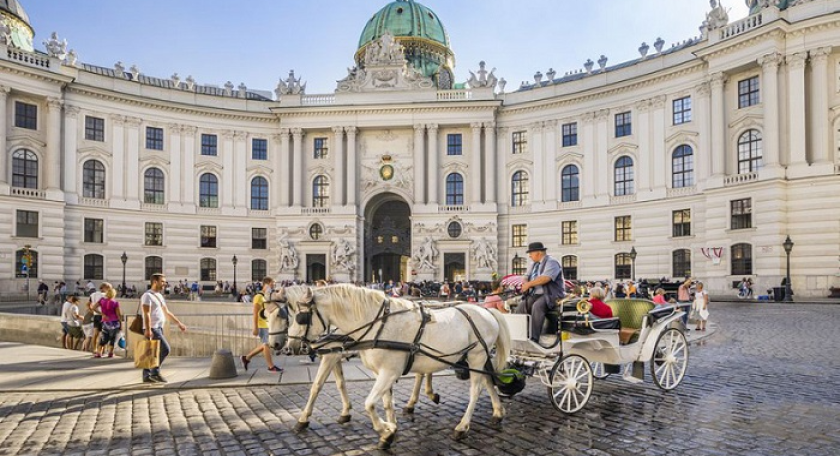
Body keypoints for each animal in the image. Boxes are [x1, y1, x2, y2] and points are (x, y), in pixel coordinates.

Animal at [266, 298, 440, 432]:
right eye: (267, 318)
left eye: (282, 317)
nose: (275, 345)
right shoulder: (334, 354)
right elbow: (340, 383)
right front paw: (345, 412)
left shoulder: (331, 355)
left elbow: (317, 385)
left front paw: (303, 419)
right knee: (425, 372)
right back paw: (425, 396)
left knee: (422, 373)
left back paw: (417, 400)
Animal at [284, 284, 512, 450]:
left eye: (301, 317)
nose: (289, 346)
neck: (376, 324)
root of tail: (486, 310)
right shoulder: (381, 372)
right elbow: (385, 403)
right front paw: (390, 431)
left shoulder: (387, 372)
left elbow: (368, 403)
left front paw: (385, 428)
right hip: (477, 358)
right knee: (488, 381)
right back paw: (498, 413)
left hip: (476, 356)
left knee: (476, 390)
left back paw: (462, 427)